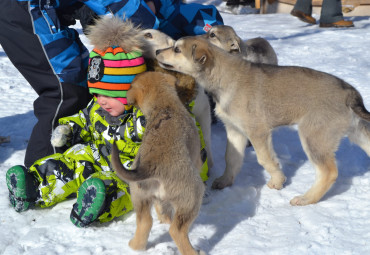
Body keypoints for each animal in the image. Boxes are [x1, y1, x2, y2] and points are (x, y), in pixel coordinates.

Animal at [111, 71, 207, 255]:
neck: (164, 106)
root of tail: (149, 166)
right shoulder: (196, 158)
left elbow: (160, 209)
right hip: (192, 197)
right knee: (177, 231)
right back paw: (195, 252)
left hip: (139, 197)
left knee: (145, 222)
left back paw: (135, 246)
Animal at [155, 35, 370, 206]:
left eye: (176, 49)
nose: (156, 51)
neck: (223, 76)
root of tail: (350, 93)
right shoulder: (235, 130)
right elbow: (231, 158)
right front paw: (225, 180)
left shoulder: (257, 131)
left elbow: (265, 159)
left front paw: (278, 181)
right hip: (356, 133)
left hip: (313, 137)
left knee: (328, 172)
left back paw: (306, 199)